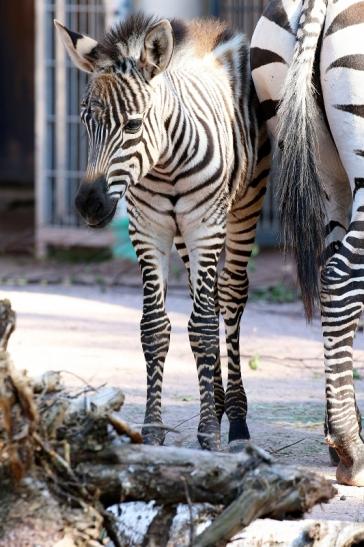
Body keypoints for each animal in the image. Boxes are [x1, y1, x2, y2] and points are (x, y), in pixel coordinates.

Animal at [54, 15, 270, 452]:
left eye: (133, 124)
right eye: (86, 121)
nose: (87, 205)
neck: (165, 163)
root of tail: (216, 28)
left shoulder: (205, 227)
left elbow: (202, 328)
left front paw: (209, 433)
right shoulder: (148, 230)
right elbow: (155, 328)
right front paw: (153, 429)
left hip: (243, 205)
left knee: (230, 295)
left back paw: (236, 420)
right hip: (185, 234)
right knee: (209, 296)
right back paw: (217, 402)